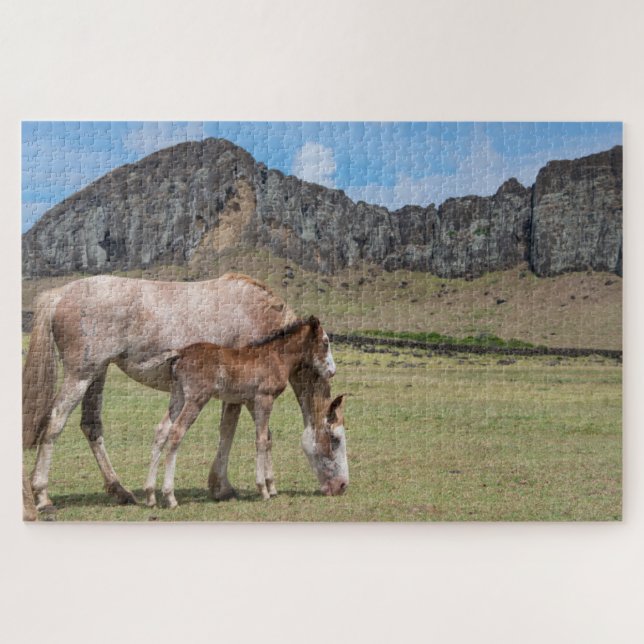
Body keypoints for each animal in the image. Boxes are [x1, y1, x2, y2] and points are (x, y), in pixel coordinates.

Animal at [145, 316, 347, 507]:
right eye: (325, 342)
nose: (332, 371)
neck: (276, 356)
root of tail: (180, 353)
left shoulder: (251, 402)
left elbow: (267, 437)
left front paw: (271, 486)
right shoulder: (264, 398)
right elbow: (261, 440)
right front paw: (263, 490)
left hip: (178, 396)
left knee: (161, 431)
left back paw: (151, 495)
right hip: (196, 399)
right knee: (176, 432)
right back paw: (170, 497)